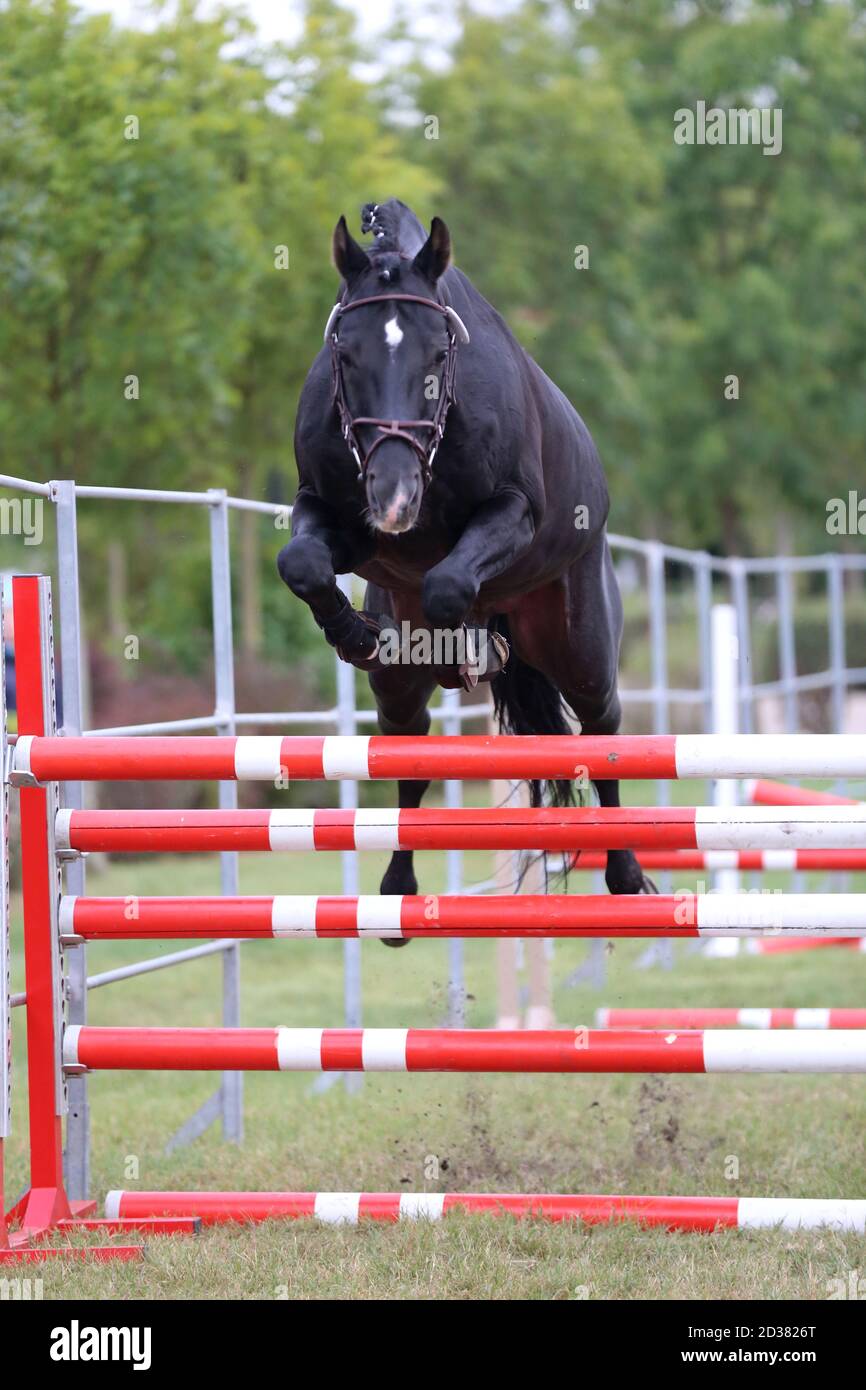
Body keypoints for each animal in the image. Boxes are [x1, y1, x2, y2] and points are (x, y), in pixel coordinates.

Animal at [278, 199, 654, 933]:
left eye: (437, 354)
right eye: (345, 354)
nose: (393, 496)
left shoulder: (513, 512)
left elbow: (451, 582)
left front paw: (471, 648)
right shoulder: (336, 519)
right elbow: (301, 563)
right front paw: (354, 634)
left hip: (581, 648)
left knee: (601, 733)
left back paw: (625, 876)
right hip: (398, 689)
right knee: (410, 749)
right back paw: (396, 889)